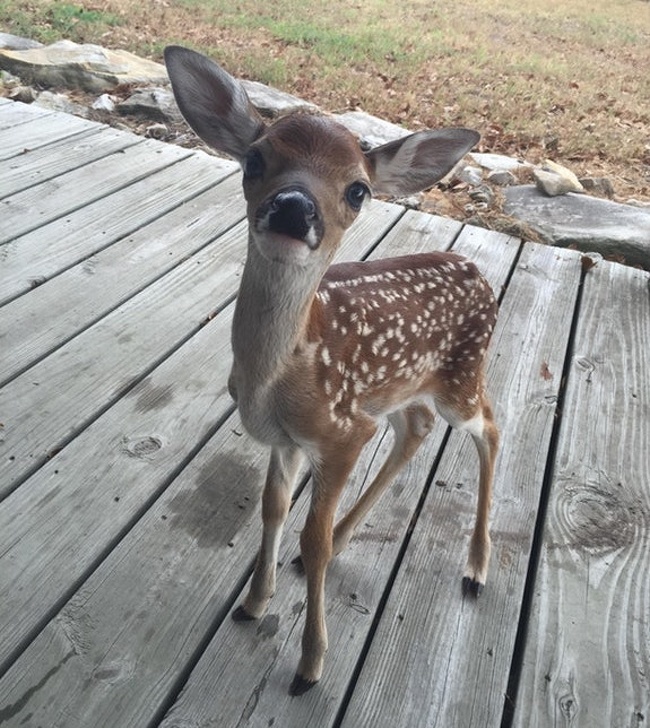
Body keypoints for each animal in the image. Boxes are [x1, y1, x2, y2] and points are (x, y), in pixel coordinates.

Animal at [166, 47, 496, 700]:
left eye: (358, 190)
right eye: (255, 159)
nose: (294, 208)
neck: (279, 376)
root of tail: (482, 275)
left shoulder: (342, 433)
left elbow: (309, 539)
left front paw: (311, 663)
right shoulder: (288, 438)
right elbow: (272, 508)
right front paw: (254, 603)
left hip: (462, 379)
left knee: (492, 429)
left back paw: (475, 567)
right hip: (402, 388)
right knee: (417, 428)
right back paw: (352, 535)